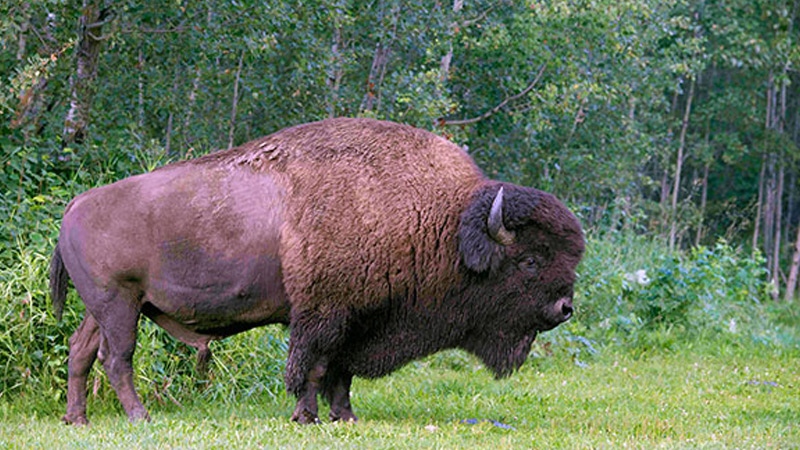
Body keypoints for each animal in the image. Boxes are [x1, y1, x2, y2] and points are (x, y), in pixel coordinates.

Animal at [51, 117, 588, 426]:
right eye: (530, 260)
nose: (564, 307)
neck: (440, 221)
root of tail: (75, 205)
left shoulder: (359, 318)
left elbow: (340, 373)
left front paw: (344, 417)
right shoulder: (324, 315)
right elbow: (312, 367)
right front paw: (305, 416)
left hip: (105, 308)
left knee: (81, 351)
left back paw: (77, 420)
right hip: (120, 304)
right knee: (117, 359)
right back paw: (139, 418)